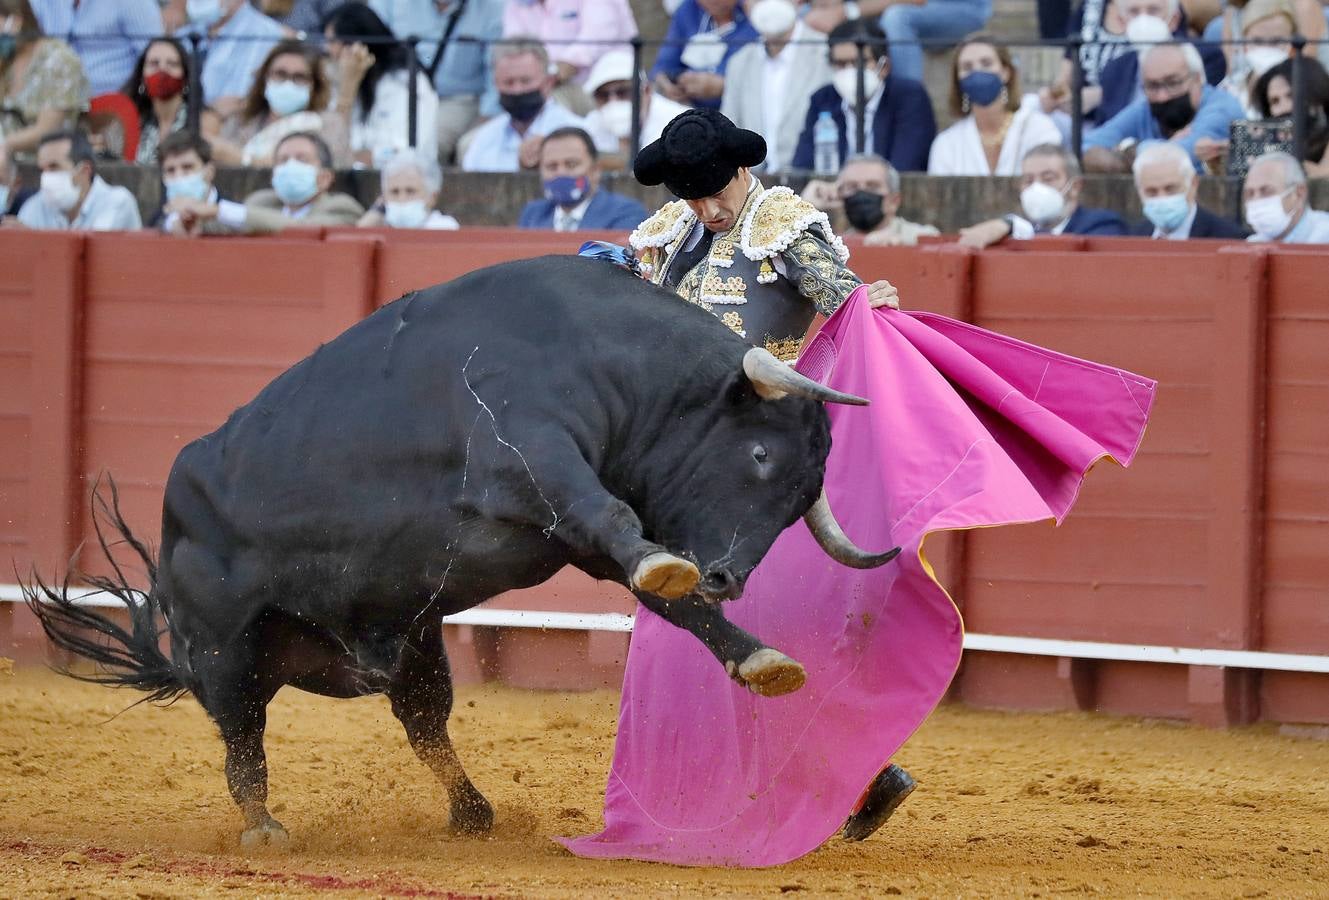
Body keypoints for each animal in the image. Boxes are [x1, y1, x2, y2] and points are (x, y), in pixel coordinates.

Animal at [31, 256, 898, 845]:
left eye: (799, 502)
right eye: (758, 456)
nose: (724, 574)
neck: (611, 361)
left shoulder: (577, 533)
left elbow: (670, 601)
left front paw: (763, 661)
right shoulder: (533, 459)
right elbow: (618, 524)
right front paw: (684, 581)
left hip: (413, 648)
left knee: (424, 727)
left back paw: (473, 812)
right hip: (223, 650)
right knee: (243, 740)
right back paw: (263, 829)